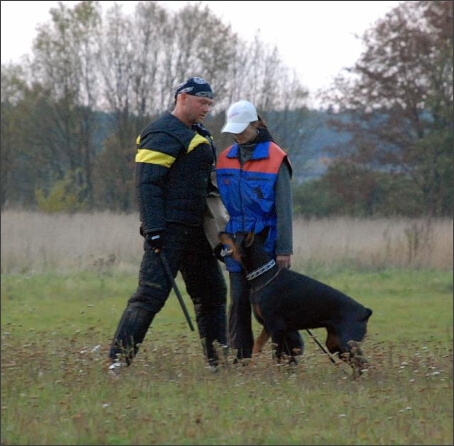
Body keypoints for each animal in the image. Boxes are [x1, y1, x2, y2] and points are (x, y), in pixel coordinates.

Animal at [219, 230, 372, 376]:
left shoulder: (276, 328)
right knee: (358, 365)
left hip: (347, 342)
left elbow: (276, 356)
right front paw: (250, 369)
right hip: (335, 343)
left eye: (234, 235)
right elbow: (257, 347)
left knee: (365, 364)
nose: (220, 233)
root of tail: (365, 311)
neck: (264, 276)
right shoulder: (267, 327)